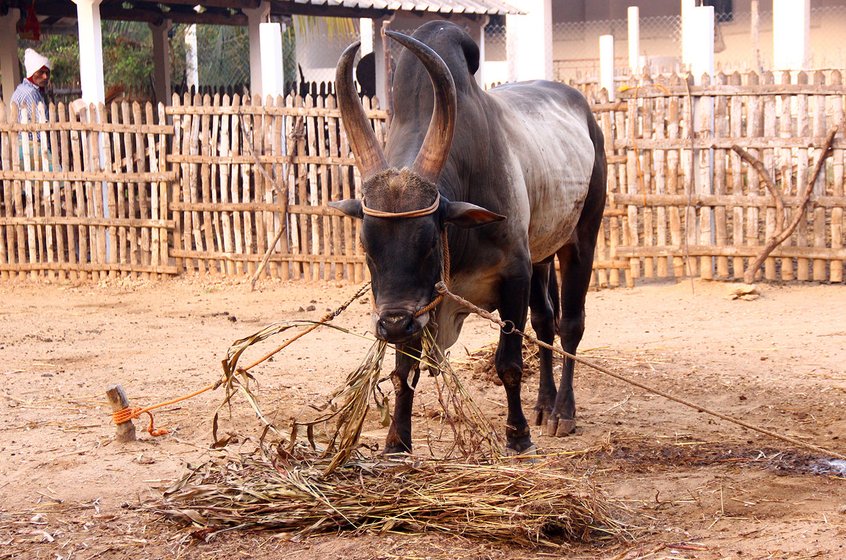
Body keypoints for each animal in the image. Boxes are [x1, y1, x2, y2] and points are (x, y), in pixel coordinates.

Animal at [328, 21, 608, 456]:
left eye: (429, 243)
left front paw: (518, 435)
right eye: (366, 248)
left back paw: (563, 412)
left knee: (570, 326)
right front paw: (397, 440)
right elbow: (404, 369)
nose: (391, 325)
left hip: (581, 239)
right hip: (540, 257)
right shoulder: (416, 306)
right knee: (545, 323)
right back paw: (544, 405)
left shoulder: (514, 274)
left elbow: (509, 363)